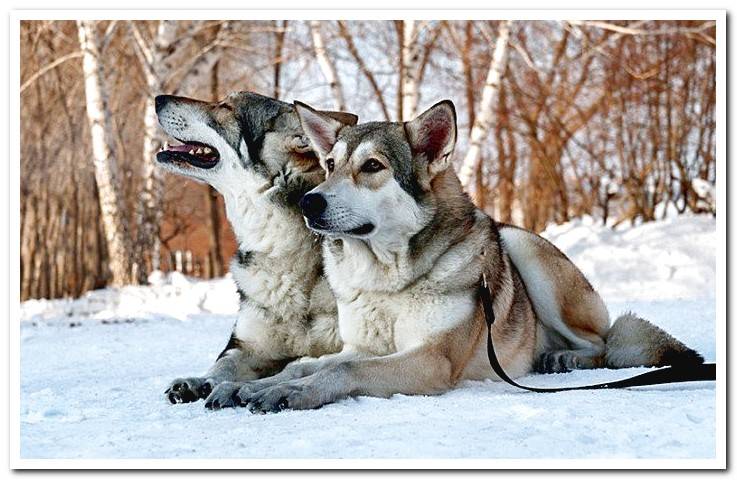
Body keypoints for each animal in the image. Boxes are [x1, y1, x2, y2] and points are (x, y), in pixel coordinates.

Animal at [213, 99, 700, 414]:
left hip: (522, 247)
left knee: (601, 344)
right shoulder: (361, 345)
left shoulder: (431, 359)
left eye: (372, 166)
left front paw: (291, 393)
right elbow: (305, 363)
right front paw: (244, 386)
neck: (387, 282)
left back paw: (565, 359)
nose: (309, 203)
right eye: (330, 165)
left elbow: (342, 370)